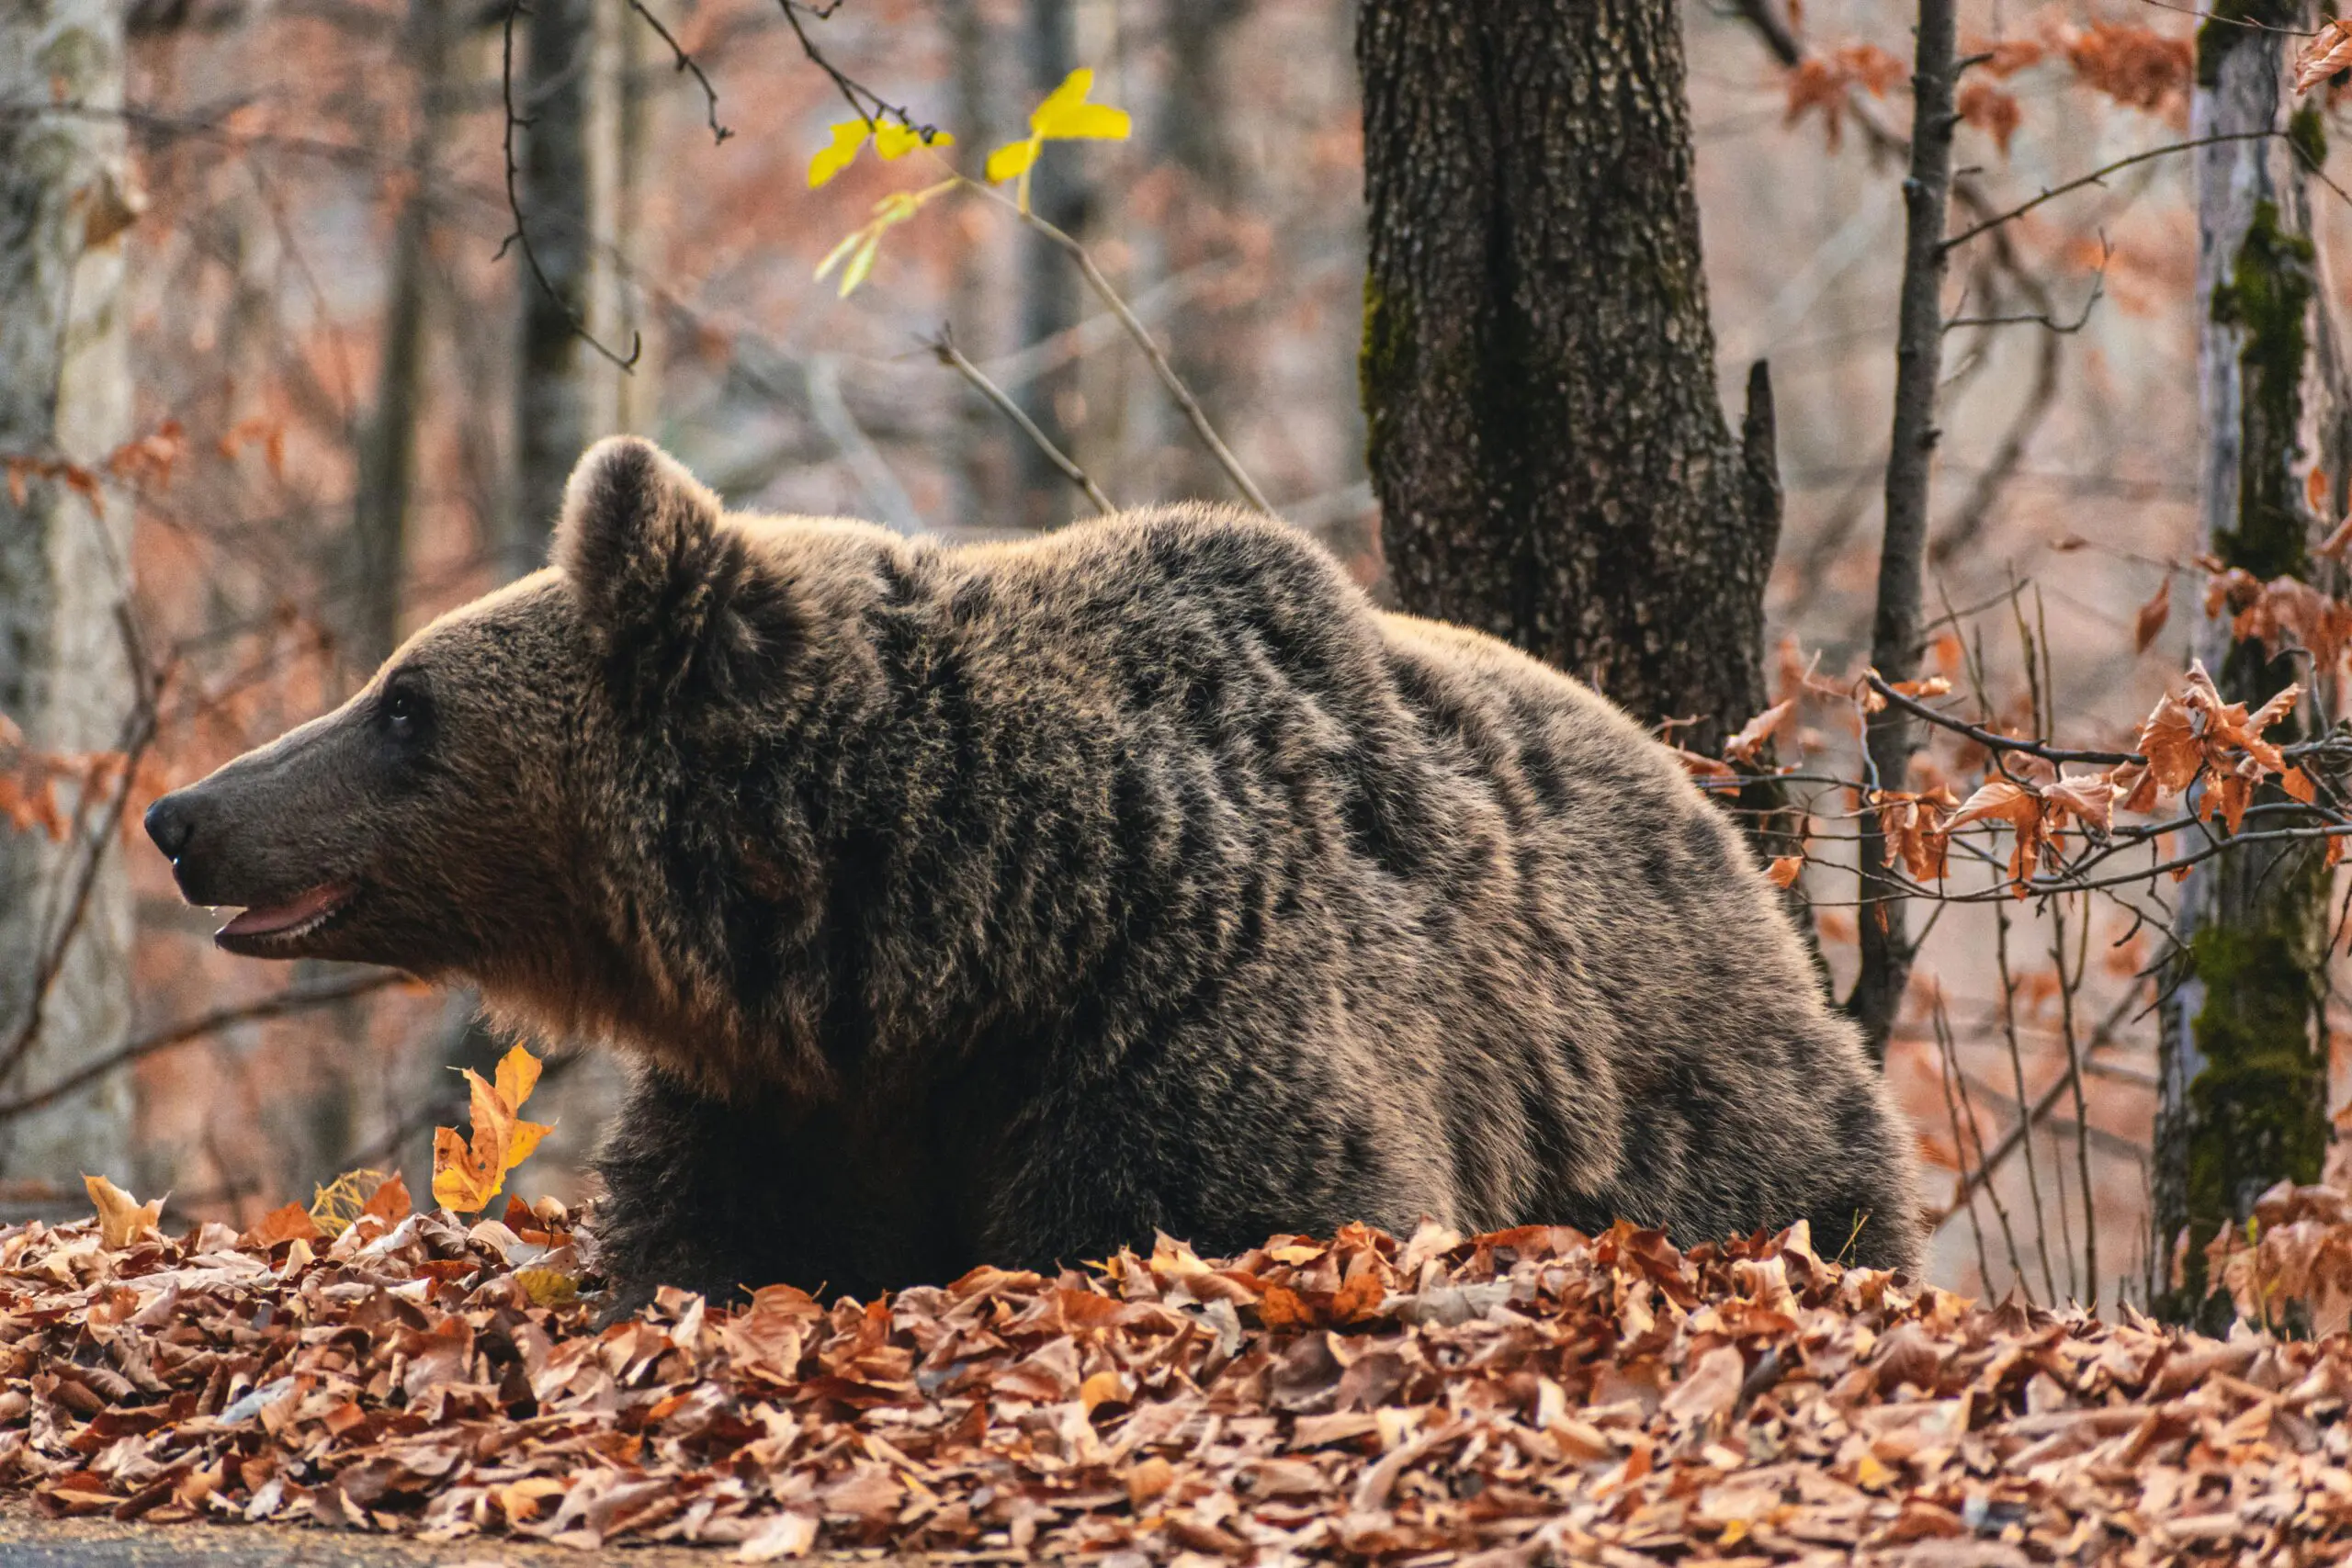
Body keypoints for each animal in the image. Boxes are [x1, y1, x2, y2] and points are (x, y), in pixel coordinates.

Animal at [145, 436, 1924, 1312]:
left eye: (404, 703)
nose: (185, 812)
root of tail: (1723, 826)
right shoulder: (802, 1097)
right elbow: (703, 1234)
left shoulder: (1181, 1010)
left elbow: (1228, 1204)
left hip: (1696, 1115)